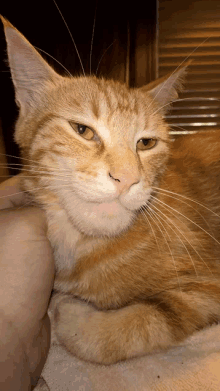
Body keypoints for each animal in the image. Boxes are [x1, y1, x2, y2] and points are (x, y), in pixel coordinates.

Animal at [1, 13, 220, 368]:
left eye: (146, 143)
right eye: (83, 130)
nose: (127, 178)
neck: (85, 246)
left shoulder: (204, 290)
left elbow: (132, 327)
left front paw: (69, 313)